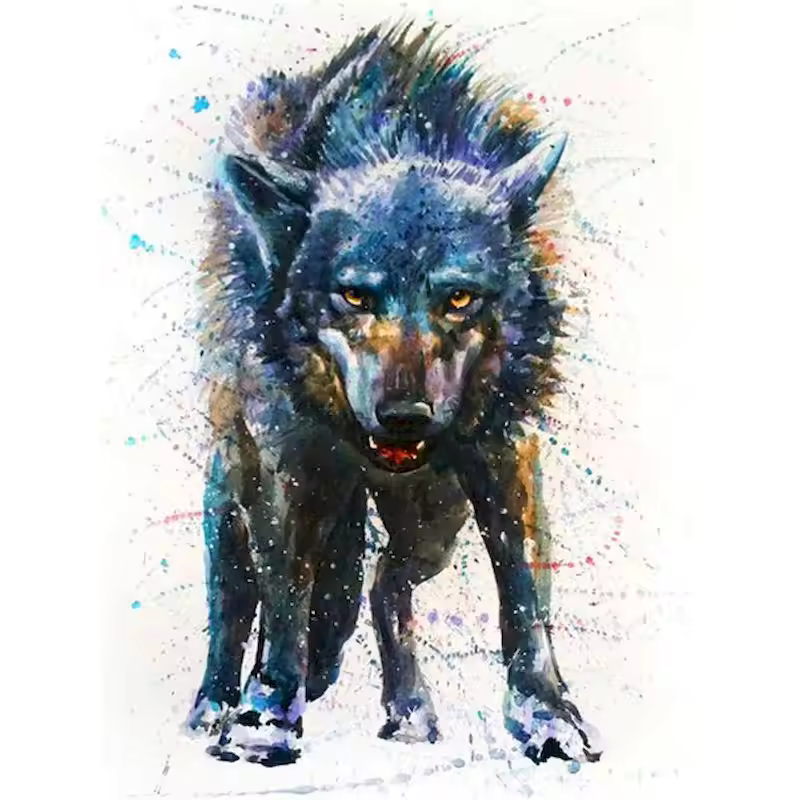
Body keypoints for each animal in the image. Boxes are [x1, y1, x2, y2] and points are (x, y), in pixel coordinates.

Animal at [186, 22, 601, 767]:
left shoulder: (505, 452)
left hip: (435, 518)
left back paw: (409, 711)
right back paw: (213, 708)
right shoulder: (289, 463)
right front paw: (267, 713)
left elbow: (525, 595)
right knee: (233, 600)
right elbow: (285, 593)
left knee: (387, 581)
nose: (405, 418)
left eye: (459, 298)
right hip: (231, 488)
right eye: (355, 295)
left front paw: (546, 716)